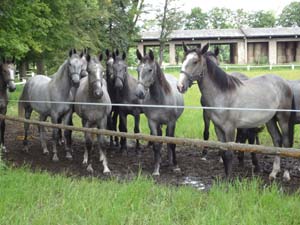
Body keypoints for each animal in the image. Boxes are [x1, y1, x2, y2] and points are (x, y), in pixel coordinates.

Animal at [135, 48, 183, 176]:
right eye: (137, 69)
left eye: (150, 70)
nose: (139, 93)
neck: (160, 100)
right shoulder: (152, 122)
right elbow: (156, 144)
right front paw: (156, 169)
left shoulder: (171, 122)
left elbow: (172, 143)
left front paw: (176, 166)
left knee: (168, 140)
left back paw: (170, 160)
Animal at [178, 43, 296, 181]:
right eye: (183, 60)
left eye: (195, 61)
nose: (180, 86)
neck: (223, 94)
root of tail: (285, 83)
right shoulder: (218, 128)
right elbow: (223, 152)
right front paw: (225, 178)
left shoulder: (230, 128)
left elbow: (229, 153)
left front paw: (230, 179)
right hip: (270, 120)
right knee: (277, 140)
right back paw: (273, 173)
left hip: (283, 118)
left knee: (286, 143)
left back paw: (286, 174)